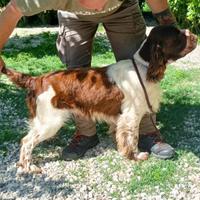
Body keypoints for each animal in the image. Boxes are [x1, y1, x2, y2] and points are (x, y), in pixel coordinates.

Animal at [0, 25, 197, 173]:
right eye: (178, 35)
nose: (195, 36)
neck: (144, 67)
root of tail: (37, 80)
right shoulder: (130, 116)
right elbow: (132, 139)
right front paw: (135, 156)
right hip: (50, 122)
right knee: (26, 142)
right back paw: (29, 167)